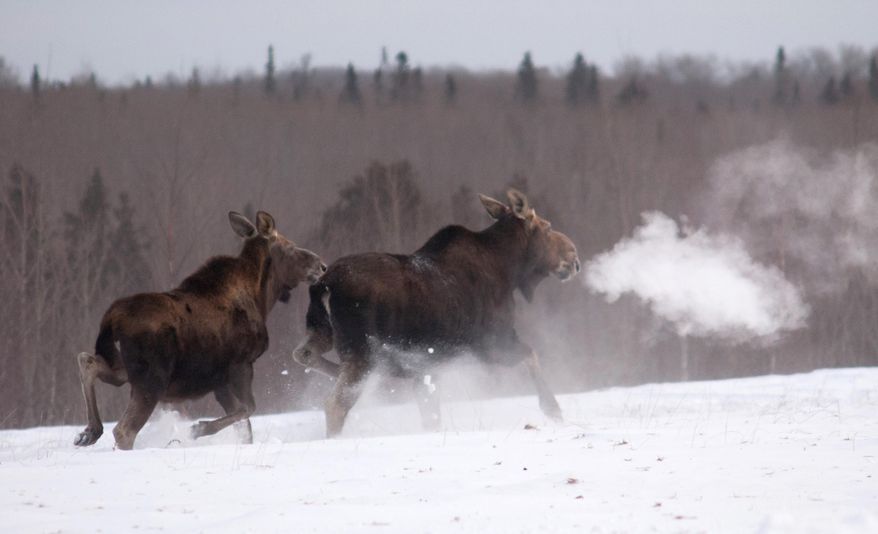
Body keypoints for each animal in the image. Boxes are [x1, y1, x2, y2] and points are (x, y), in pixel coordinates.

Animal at [74, 211, 325, 450]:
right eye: (290, 247)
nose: (321, 265)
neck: (262, 298)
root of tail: (112, 318)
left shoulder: (220, 380)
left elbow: (245, 426)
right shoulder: (241, 365)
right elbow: (248, 409)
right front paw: (198, 428)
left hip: (123, 368)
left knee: (88, 361)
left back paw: (89, 432)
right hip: (151, 379)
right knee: (124, 430)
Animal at [292, 189, 580, 437]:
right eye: (547, 227)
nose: (574, 257)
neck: (510, 270)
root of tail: (324, 284)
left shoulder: (429, 368)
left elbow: (431, 415)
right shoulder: (492, 343)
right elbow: (532, 355)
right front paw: (553, 410)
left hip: (323, 331)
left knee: (303, 354)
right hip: (361, 352)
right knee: (334, 404)